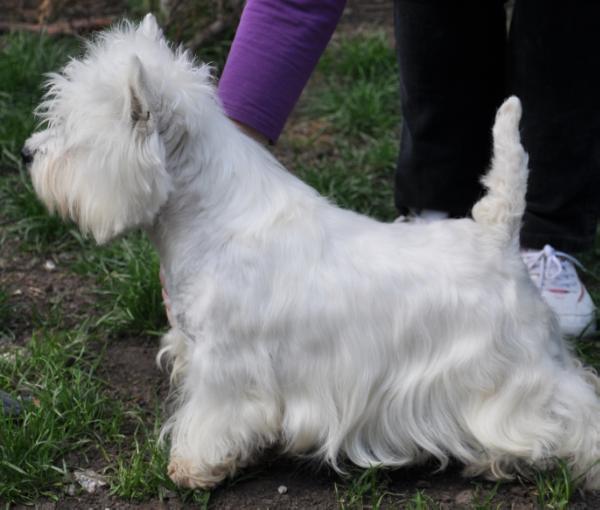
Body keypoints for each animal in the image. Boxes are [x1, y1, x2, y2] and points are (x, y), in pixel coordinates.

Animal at [23, 12, 600, 490]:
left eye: (70, 133)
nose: (28, 153)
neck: (210, 217)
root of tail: (496, 234)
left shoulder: (226, 365)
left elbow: (212, 417)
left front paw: (194, 467)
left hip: (516, 370)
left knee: (573, 413)